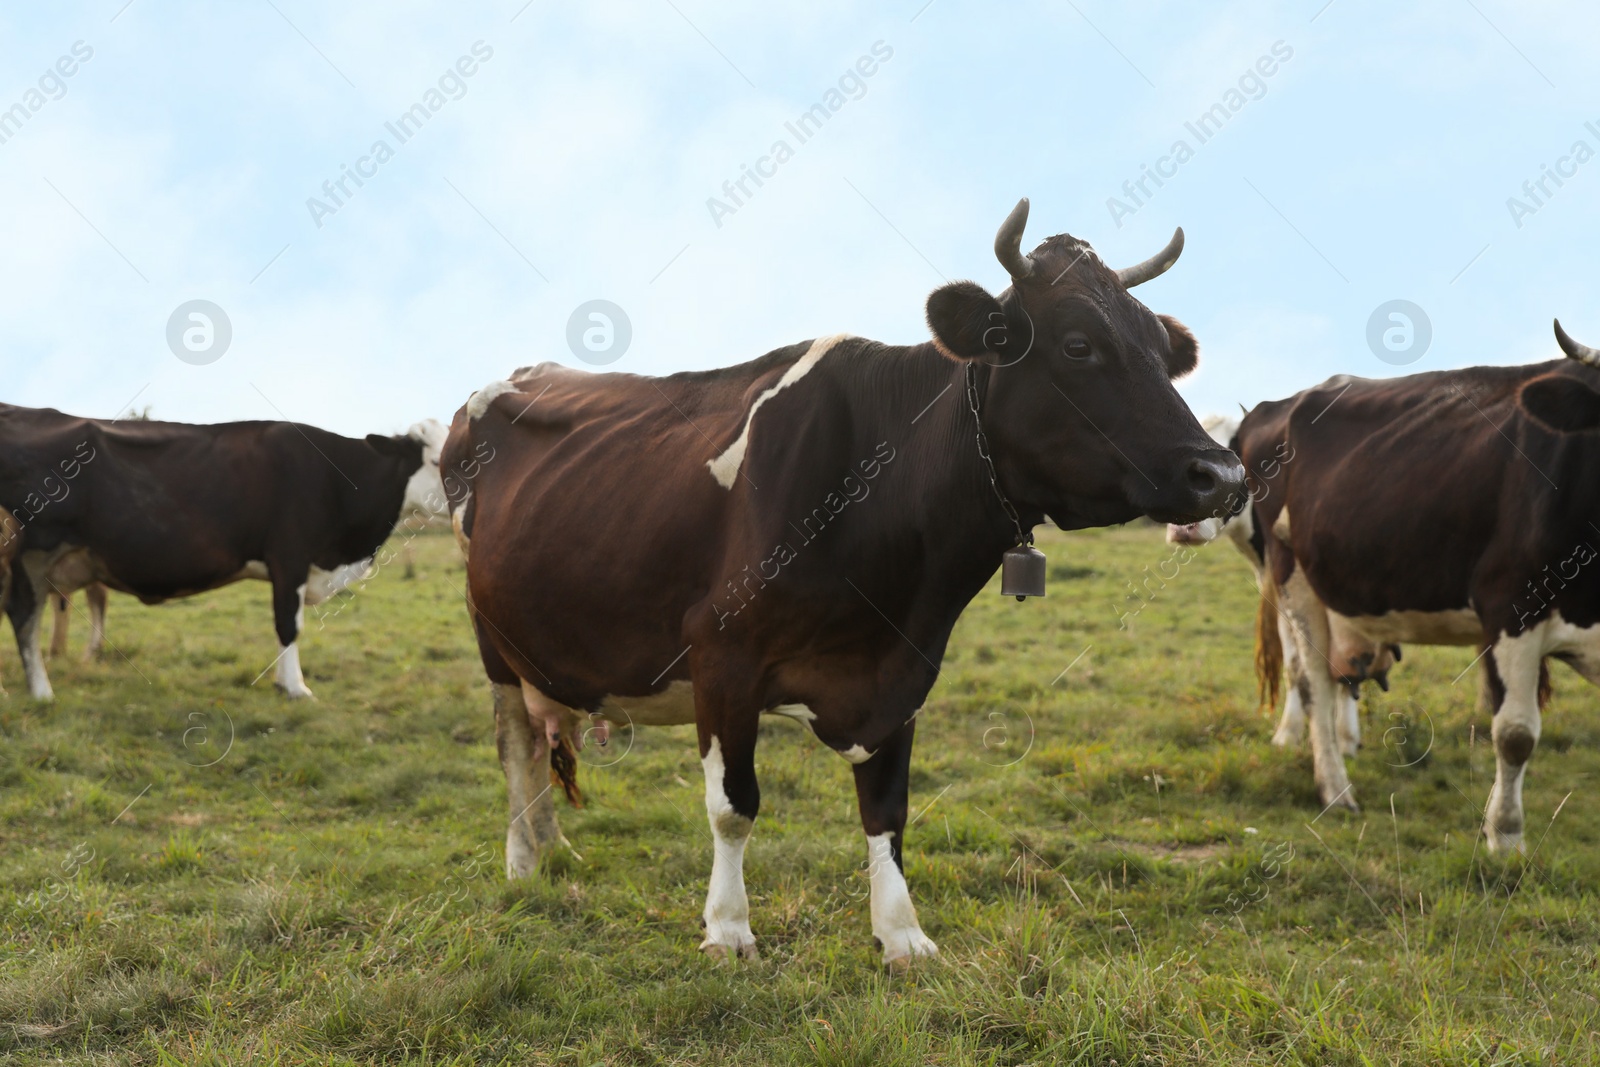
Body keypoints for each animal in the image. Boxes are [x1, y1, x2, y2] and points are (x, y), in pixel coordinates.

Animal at [444, 199, 1241, 966]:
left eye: (1163, 353)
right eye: (1078, 344)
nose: (1223, 473)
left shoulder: (903, 667)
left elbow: (887, 810)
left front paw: (902, 934)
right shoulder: (721, 655)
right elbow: (733, 805)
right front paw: (728, 927)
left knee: (549, 732)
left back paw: (555, 850)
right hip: (492, 639)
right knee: (516, 747)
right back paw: (523, 863)